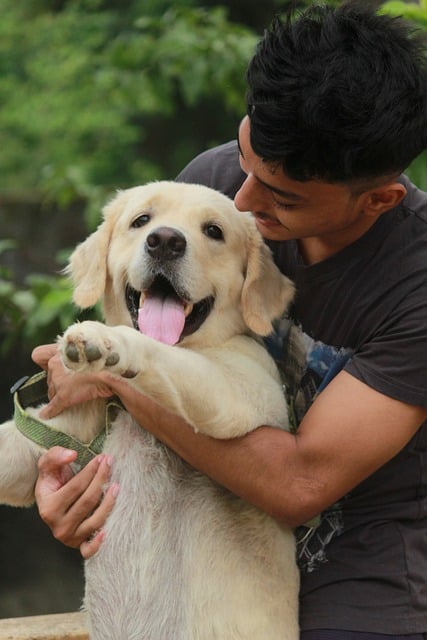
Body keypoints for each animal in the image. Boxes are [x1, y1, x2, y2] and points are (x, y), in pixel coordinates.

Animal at [0, 181, 300, 640]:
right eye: (142, 220)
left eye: (213, 231)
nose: (165, 241)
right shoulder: (54, 436)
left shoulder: (237, 390)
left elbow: (157, 351)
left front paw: (105, 340)